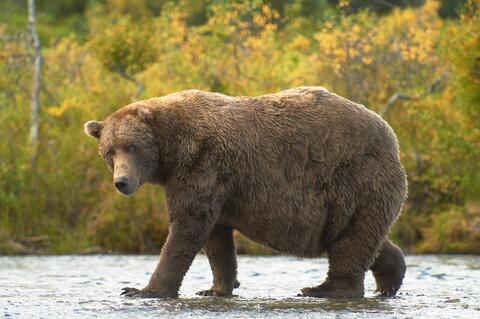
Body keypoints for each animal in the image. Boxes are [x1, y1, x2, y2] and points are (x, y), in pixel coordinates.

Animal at [84, 87, 406, 300]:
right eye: (109, 152)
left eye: (132, 147)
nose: (122, 182)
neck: (173, 153)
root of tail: (391, 135)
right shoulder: (218, 186)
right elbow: (216, 239)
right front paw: (215, 288)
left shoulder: (202, 166)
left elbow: (186, 227)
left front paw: (141, 290)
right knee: (359, 237)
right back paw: (391, 276)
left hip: (354, 179)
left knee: (350, 240)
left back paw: (323, 289)